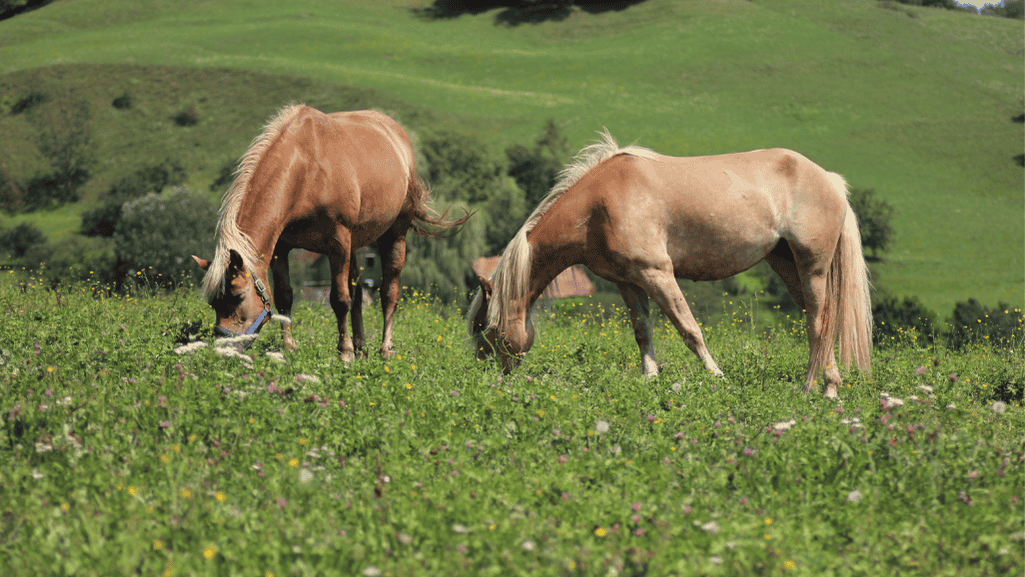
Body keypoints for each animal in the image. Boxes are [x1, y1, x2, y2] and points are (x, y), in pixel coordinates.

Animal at [192, 104, 468, 360]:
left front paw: (344, 352)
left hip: (394, 234)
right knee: (358, 291)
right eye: (213, 302)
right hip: (355, 243)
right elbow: (285, 296)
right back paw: (361, 348)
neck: (306, 168)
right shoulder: (281, 247)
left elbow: (339, 299)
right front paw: (289, 347)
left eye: (238, 297)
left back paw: (384, 349)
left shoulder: (338, 241)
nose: (223, 350)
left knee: (388, 292)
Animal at [467, 132, 871, 398]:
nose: (491, 376)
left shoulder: (657, 273)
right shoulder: (628, 282)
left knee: (819, 324)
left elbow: (688, 329)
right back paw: (830, 385)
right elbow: (642, 331)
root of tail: (829, 180)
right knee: (821, 320)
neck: (599, 206)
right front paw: (650, 379)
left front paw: (717, 376)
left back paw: (811, 389)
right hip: (786, 264)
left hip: (812, 265)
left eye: (489, 330)